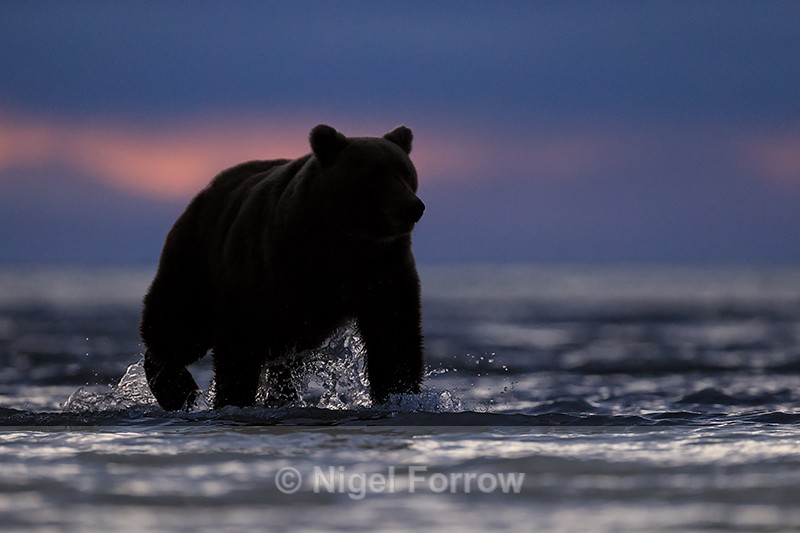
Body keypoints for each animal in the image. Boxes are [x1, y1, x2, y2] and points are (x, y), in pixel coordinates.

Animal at [139, 124, 425, 410]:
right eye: (374, 175)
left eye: (406, 172)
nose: (413, 206)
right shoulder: (267, 268)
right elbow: (240, 342)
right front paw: (233, 399)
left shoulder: (381, 270)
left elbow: (393, 334)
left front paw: (399, 394)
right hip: (197, 258)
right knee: (179, 326)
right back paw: (177, 389)